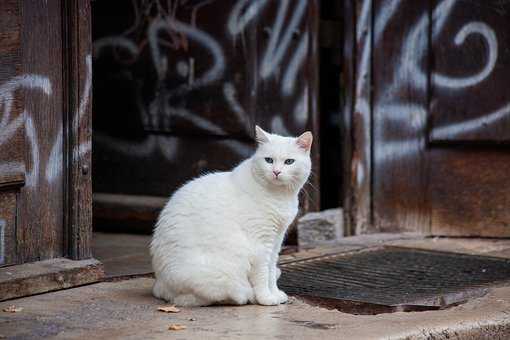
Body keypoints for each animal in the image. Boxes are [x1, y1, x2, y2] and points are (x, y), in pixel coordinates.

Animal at [149, 126, 312, 306]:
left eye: (289, 162)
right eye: (269, 160)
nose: (276, 172)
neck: (279, 196)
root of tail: (159, 284)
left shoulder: (276, 239)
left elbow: (270, 271)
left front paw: (275, 294)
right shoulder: (261, 245)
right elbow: (263, 274)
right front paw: (266, 298)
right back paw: (248, 295)